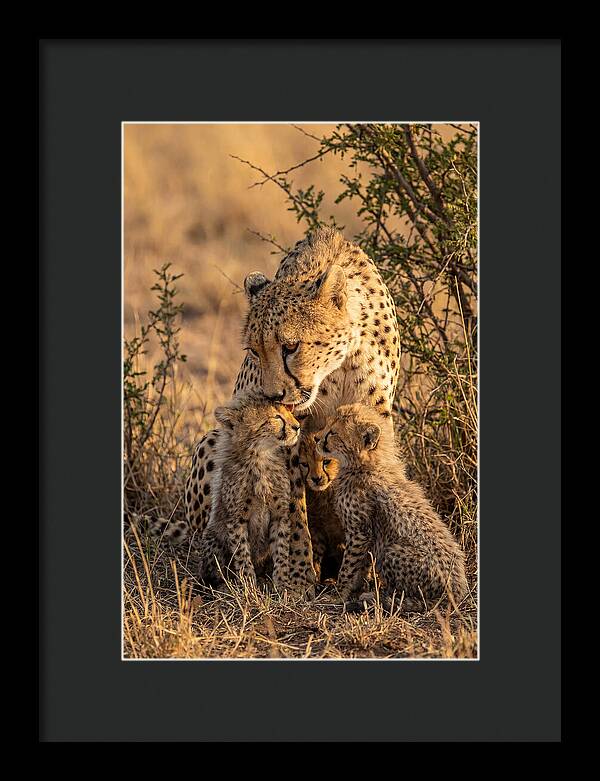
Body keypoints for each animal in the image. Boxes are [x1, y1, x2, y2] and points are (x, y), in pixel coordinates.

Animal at [197, 390, 301, 590]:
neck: (260, 458)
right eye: (276, 417)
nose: (297, 426)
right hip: (212, 537)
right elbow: (242, 553)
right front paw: (248, 585)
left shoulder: (280, 515)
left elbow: (281, 550)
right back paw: (224, 585)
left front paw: (282, 583)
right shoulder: (236, 519)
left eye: (288, 412)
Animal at [317, 403, 468, 613]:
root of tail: (457, 592)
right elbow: (361, 565)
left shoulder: (359, 532)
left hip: (392, 551)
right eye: (327, 426)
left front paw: (338, 594)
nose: (316, 438)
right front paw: (354, 588)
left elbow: (349, 566)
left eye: (333, 432)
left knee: (413, 596)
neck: (365, 464)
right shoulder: (366, 535)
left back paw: (379, 597)